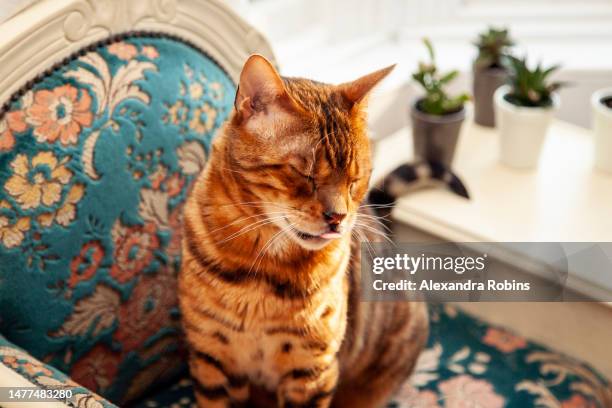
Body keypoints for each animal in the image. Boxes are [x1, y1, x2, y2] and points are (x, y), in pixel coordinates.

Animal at [179, 55, 428, 408]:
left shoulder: (313, 370)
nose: (337, 217)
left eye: (355, 179)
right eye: (304, 173)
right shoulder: (212, 361)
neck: (262, 274)